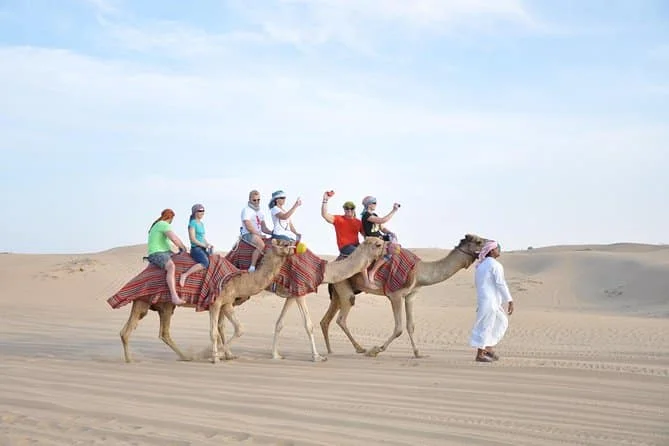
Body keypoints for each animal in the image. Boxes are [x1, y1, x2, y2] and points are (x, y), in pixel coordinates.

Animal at [118, 239, 295, 363]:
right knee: (129, 331)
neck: (238, 280)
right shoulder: (215, 303)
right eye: (284, 243)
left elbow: (238, 328)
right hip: (143, 300)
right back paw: (131, 360)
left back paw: (186, 357)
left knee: (162, 333)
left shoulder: (227, 303)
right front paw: (214, 356)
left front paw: (225, 354)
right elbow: (214, 331)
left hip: (165, 305)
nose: (294, 247)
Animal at [320, 233, 488, 358]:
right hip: (344, 287)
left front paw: (418, 353)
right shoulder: (395, 295)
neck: (419, 271)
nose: (493, 244)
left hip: (337, 291)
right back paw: (361, 349)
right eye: (479, 241)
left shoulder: (410, 295)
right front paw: (377, 350)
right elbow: (399, 328)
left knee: (325, 320)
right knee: (341, 318)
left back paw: (330, 350)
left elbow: (410, 325)